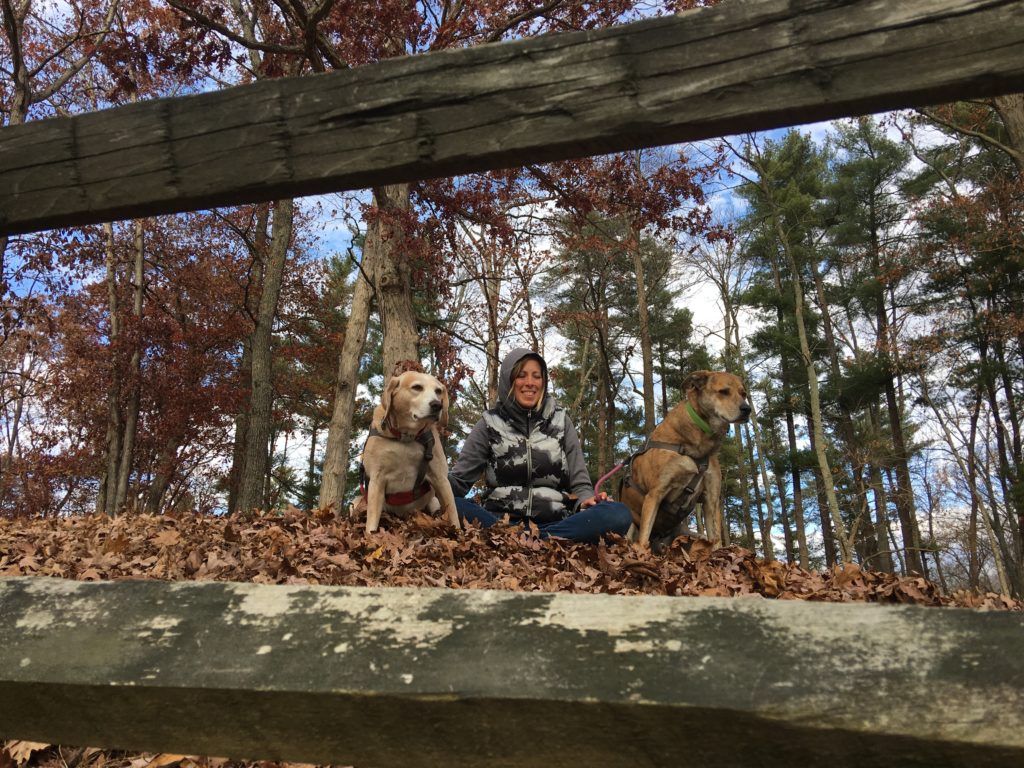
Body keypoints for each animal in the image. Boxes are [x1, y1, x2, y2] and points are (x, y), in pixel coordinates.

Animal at [358, 372, 458, 536]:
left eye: (438, 391)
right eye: (417, 387)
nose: (437, 405)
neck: (406, 436)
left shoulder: (441, 478)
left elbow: (453, 514)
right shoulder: (376, 480)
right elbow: (372, 521)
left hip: (434, 501)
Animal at [614, 370, 753, 548]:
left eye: (744, 394)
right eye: (724, 391)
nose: (747, 409)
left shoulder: (711, 500)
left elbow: (716, 540)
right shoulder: (655, 494)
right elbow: (644, 538)